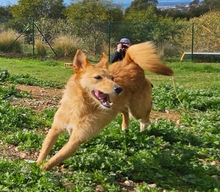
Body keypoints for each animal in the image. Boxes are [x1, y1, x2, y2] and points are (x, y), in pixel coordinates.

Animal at [36, 41, 174, 170]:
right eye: (98, 77)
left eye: (112, 78)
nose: (119, 89)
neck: (80, 106)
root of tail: (129, 61)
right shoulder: (55, 129)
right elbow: (44, 150)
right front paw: (37, 164)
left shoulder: (76, 140)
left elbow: (53, 160)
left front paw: (39, 170)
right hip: (120, 106)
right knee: (124, 110)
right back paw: (125, 127)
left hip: (137, 108)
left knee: (147, 107)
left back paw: (143, 125)